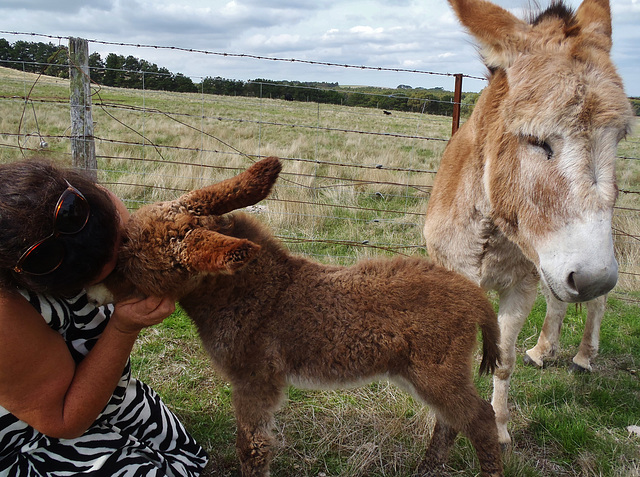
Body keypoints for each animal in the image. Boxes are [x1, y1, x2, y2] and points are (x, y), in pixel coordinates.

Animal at [87, 157, 502, 476]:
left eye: (130, 258)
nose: (92, 283)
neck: (252, 294)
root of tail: (476, 297)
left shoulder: (254, 379)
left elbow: (252, 447)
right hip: (418, 371)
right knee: (450, 422)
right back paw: (427, 469)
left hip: (436, 370)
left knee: (481, 418)